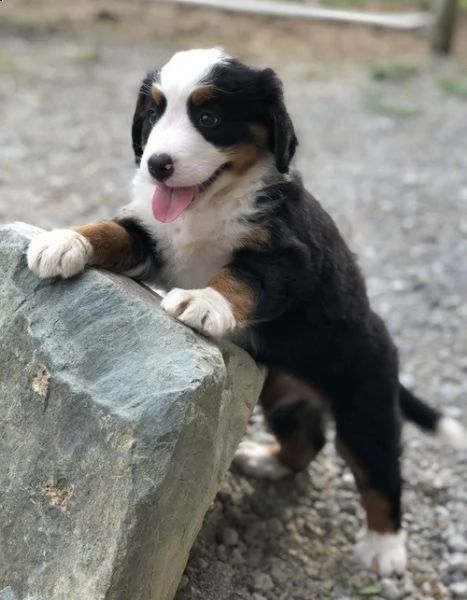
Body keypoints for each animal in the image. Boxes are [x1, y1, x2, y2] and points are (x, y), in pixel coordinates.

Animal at [27, 48, 466, 576]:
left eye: (209, 119)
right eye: (153, 115)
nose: (157, 164)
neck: (208, 204)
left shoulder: (287, 257)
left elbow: (241, 278)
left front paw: (203, 301)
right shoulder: (151, 237)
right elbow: (111, 229)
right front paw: (63, 241)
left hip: (364, 401)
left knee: (379, 471)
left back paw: (385, 548)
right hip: (282, 393)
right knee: (307, 441)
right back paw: (267, 460)